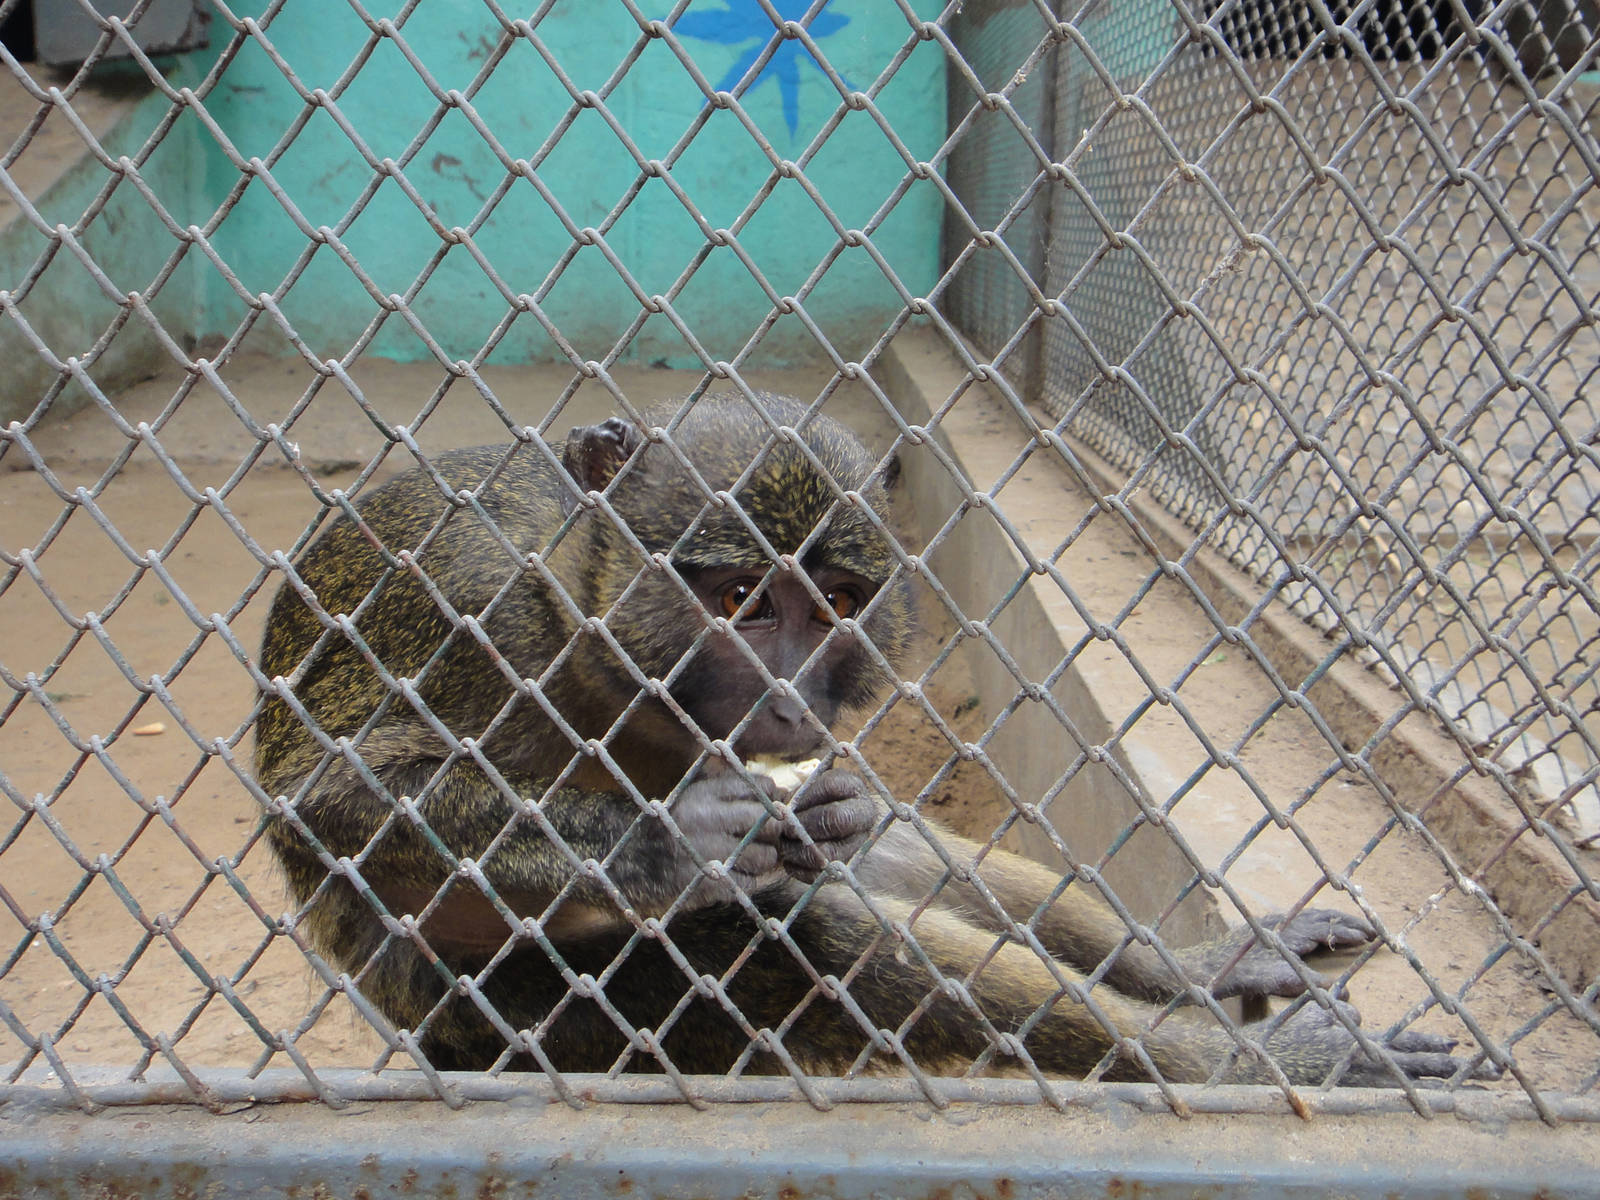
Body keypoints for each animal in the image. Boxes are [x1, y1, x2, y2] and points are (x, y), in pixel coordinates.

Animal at [254, 392, 1487, 1087]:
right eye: (743, 599)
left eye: (837, 605)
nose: (794, 697)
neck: (579, 620)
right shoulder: (466, 603)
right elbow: (331, 795)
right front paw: (663, 843)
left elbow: (856, 836)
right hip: (543, 1022)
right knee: (817, 937)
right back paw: (1252, 1066)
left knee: (858, 880)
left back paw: (1199, 977)